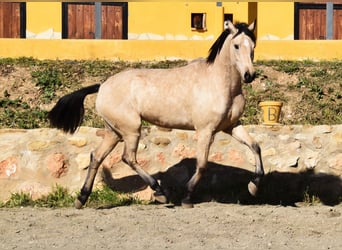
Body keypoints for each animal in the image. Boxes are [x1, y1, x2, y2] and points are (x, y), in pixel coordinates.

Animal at [48, 21, 264, 209]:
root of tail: (102, 86)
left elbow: (255, 146)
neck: (219, 82)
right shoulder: (205, 130)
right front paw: (187, 199)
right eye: (236, 45)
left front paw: (253, 187)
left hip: (113, 132)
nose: (249, 75)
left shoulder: (231, 126)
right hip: (131, 129)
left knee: (97, 157)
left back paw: (81, 199)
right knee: (128, 157)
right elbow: (202, 165)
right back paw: (159, 192)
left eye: (253, 45)